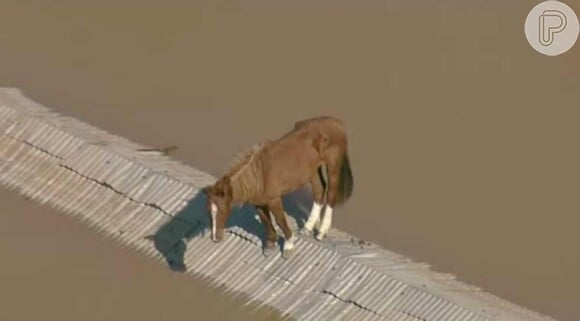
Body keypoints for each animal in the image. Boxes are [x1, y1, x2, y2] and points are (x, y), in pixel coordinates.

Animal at [204, 115, 354, 258]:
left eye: (222, 210)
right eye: (208, 211)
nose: (215, 238)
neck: (259, 175)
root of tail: (338, 123)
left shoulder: (274, 200)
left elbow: (280, 220)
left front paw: (288, 246)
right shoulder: (259, 203)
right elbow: (266, 221)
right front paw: (270, 245)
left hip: (332, 166)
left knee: (331, 195)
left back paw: (321, 232)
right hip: (313, 170)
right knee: (319, 191)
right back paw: (307, 228)